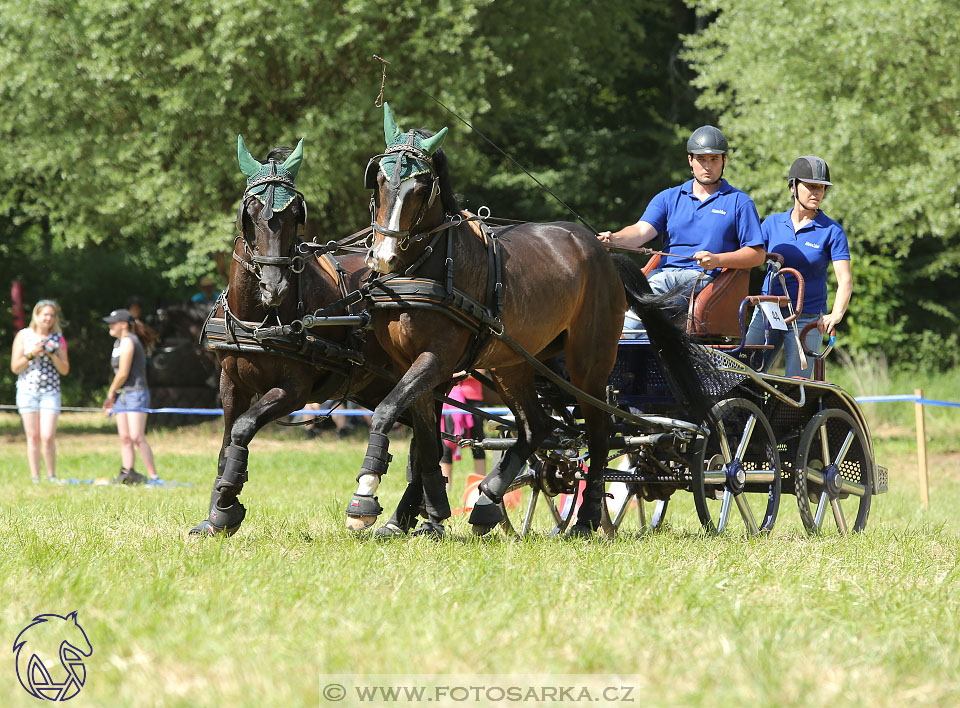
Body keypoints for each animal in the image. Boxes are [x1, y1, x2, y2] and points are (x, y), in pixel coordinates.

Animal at [191, 137, 450, 536]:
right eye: (250, 212)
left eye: (297, 213)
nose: (274, 287)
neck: (263, 319)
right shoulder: (230, 383)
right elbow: (225, 443)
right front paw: (215, 516)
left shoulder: (295, 391)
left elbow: (243, 429)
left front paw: (227, 505)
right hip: (380, 385)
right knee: (424, 443)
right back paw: (406, 517)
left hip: (429, 376)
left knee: (429, 444)